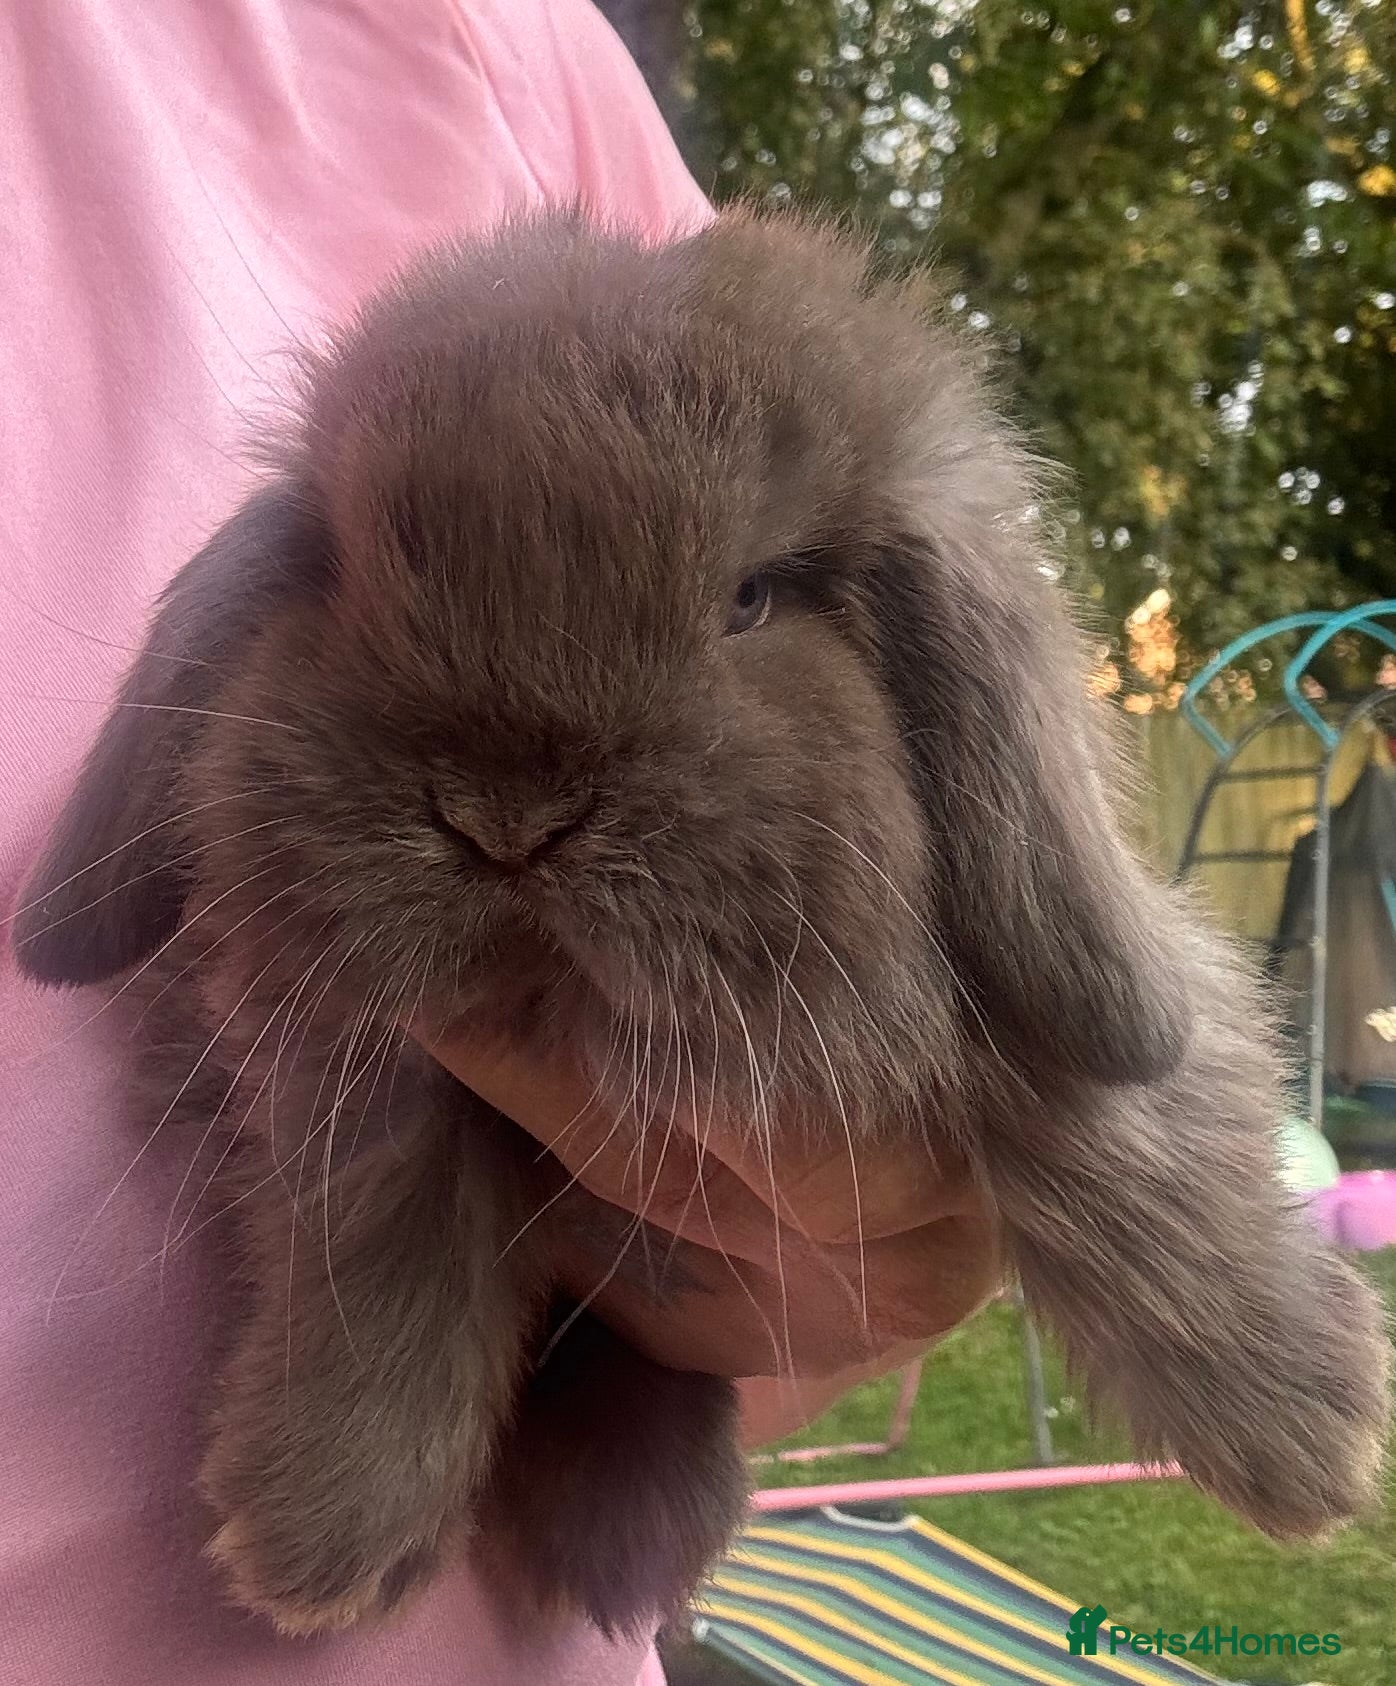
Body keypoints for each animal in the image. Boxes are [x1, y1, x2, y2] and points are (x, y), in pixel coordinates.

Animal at [11, 206, 1390, 1641]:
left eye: (753, 596)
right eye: (343, 569)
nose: (507, 815)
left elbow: (1113, 1133)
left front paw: (1299, 1431)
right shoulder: (336, 1060)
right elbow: (383, 1239)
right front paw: (318, 1532)